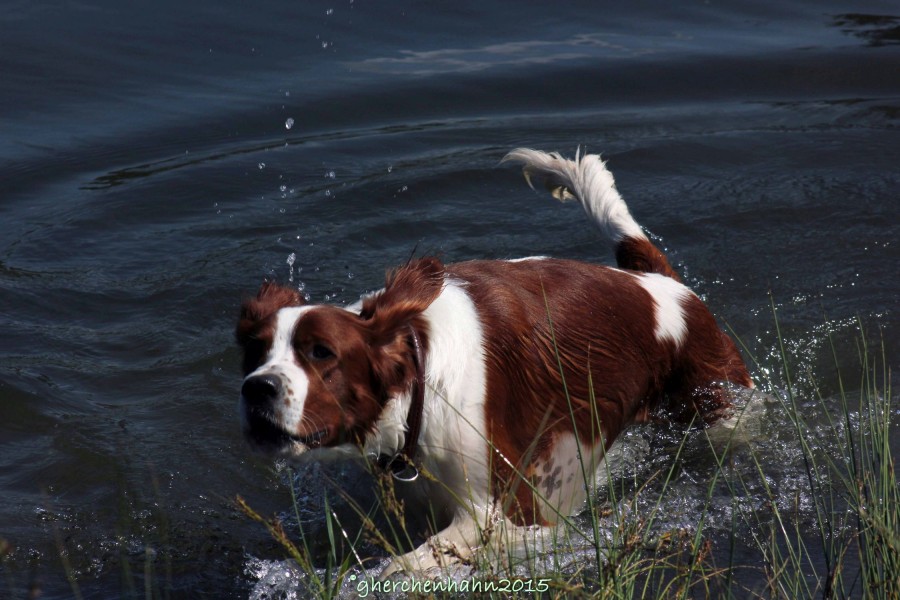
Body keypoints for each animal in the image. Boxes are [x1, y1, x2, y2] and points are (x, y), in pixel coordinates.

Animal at [236, 148, 753, 577]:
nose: (256, 388)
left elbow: (415, 562)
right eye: (254, 351)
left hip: (723, 404)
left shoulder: (504, 508)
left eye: (321, 351)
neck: (421, 381)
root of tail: (658, 281)